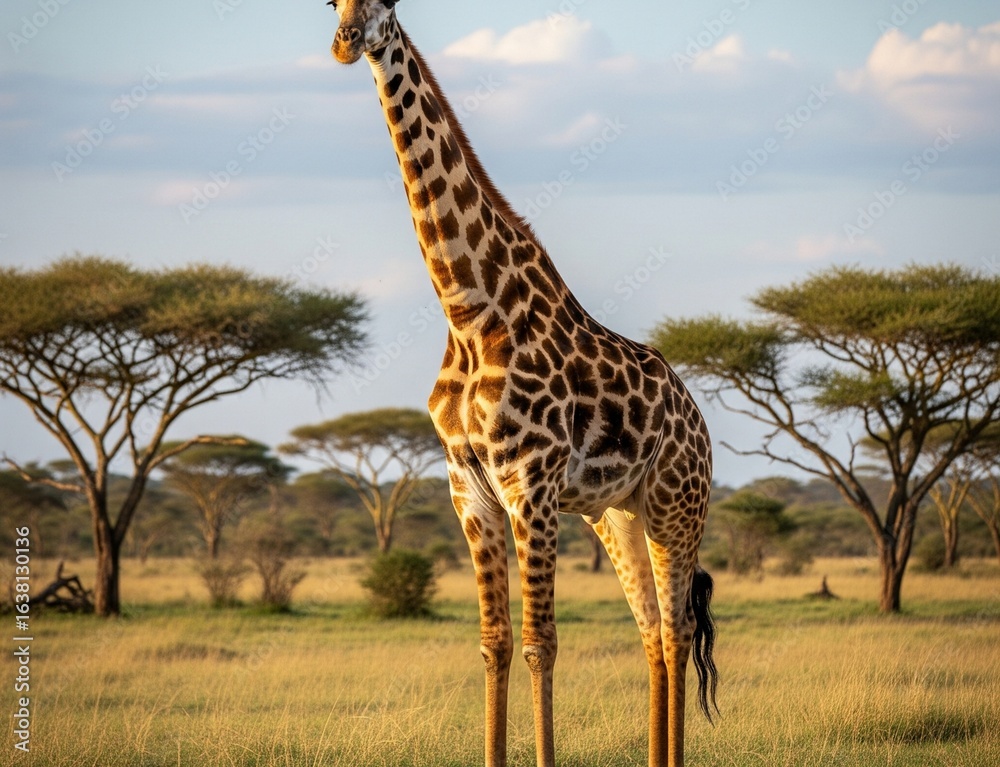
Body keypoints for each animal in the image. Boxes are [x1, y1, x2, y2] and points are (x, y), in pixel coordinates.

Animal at [326, 2, 718, 766]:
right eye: (329, 5)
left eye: (389, 5)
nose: (346, 42)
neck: (471, 309)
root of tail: (700, 423)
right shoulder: (469, 488)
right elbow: (495, 643)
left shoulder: (530, 485)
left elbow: (541, 644)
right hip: (617, 515)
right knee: (652, 632)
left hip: (675, 506)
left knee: (680, 629)